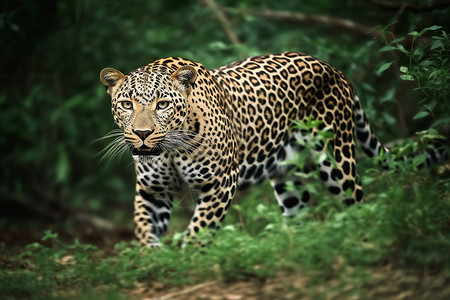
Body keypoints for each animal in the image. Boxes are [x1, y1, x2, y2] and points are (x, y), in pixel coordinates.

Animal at [99, 51, 442, 247]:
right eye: (126, 104)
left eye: (163, 104)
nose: (143, 134)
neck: (170, 149)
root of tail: (335, 70)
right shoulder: (152, 190)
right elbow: (144, 229)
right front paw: (153, 261)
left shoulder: (220, 183)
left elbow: (199, 230)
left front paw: (187, 261)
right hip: (289, 176)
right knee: (297, 212)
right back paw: (291, 248)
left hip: (337, 160)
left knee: (356, 201)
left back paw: (360, 240)